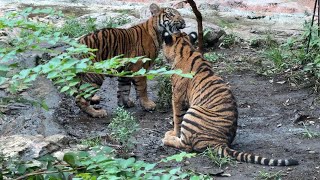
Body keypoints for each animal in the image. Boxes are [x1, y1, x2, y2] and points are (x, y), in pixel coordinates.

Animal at [161, 31, 298, 166]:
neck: (185, 47)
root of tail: (221, 142)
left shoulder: (177, 97)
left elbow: (177, 118)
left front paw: (173, 132)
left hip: (193, 113)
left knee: (186, 146)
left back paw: (167, 138)